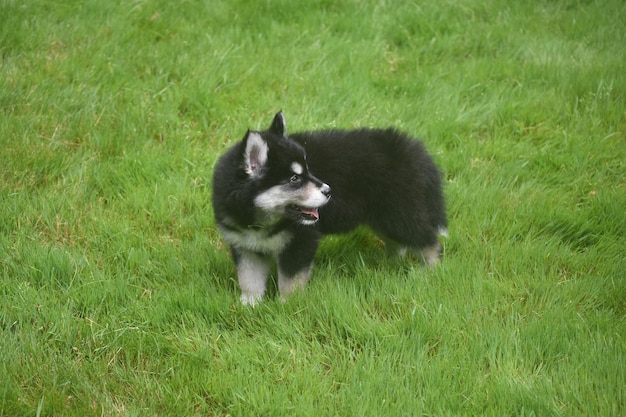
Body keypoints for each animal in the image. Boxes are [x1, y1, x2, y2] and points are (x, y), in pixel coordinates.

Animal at [212, 112, 446, 304]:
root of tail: (417, 153)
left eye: (307, 169)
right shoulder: (245, 246)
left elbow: (290, 281)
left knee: (428, 241)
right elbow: (248, 279)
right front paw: (249, 306)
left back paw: (432, 271)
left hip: (400, 214)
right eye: (294, 178)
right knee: (399, 243)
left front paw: (287, 307)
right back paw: (389, 263)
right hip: (384, 217)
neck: (259, 221)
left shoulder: (300, 241)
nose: (329, 190)